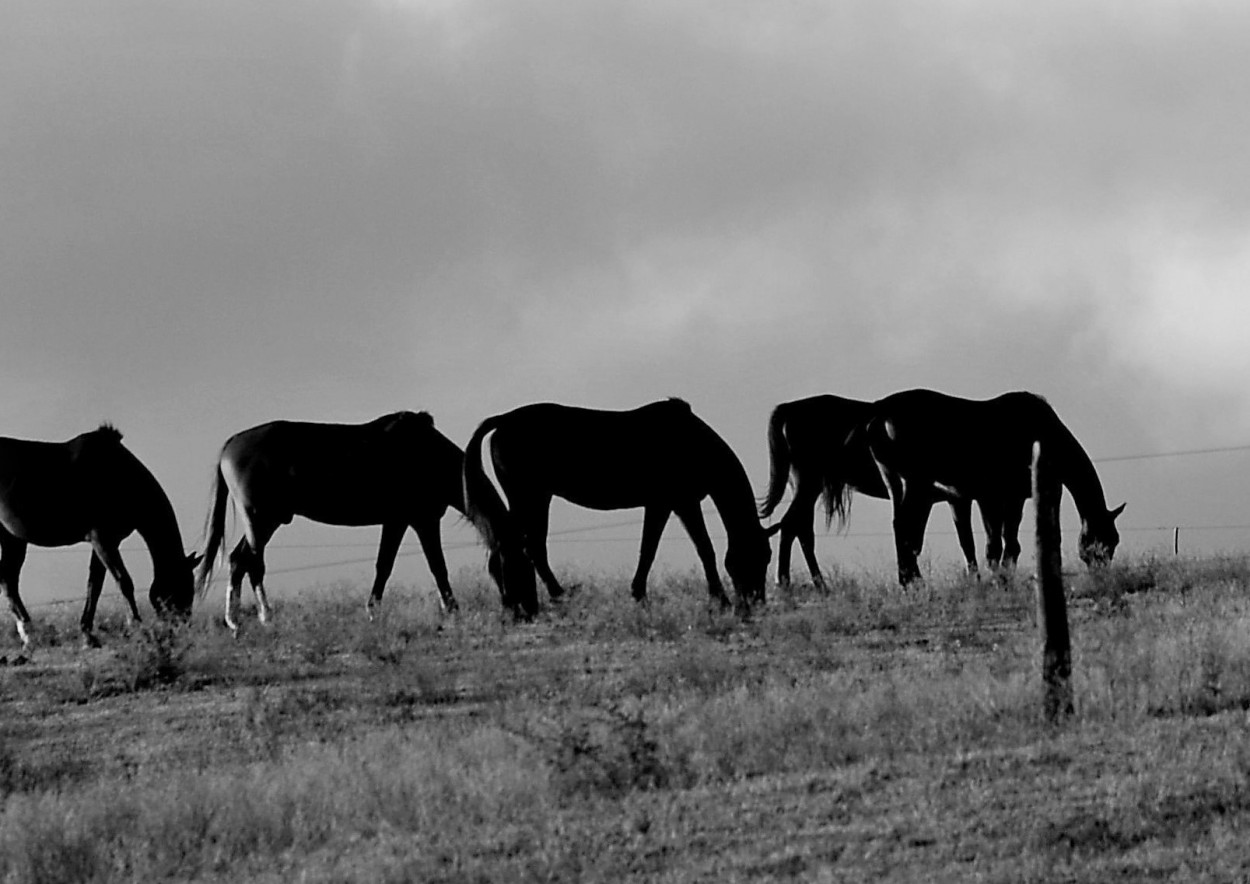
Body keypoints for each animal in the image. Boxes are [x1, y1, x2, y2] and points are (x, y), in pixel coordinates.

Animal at [0, 425, 195, 655]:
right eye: (183, 587)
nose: (183, 627)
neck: (121, 476)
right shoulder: (103, 540)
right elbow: (123, 582)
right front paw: (138, 628)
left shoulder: (105, 543)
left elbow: (94, 586)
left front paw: (88, 636)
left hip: (12, 538)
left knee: (8, 581)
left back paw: (29, 636)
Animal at [195, 412, 470, 632]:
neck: (424, 452)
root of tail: (231, 443)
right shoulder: (423, 520)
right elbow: (437, 566)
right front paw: (453, 610)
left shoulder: (397, 522)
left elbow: (384, 566)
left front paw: (373, 611)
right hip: (261, 519)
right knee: (252, 563)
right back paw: (265, 615)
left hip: (263, 522)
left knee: (237, 559)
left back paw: (234, 620)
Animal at [462, 400, 765, 615]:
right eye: (760, 556)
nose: (757, 601)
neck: (692, 442)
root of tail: (504, 419)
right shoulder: (682, 503)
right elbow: (703, 548)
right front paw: (721, 600)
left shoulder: (661, 505)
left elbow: (648, 549)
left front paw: (639, 594)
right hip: (528, 497)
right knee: (524, 547)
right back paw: (550, 596)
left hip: (532, 498)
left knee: (515, 546)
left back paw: (521, 601)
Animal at [755, 395, 990, 587]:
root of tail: (788, 409)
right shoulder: (956, 497)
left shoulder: (953, 499)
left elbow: (958, 539)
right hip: (808, 485)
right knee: (791, 526)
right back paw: (789, 583)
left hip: (807, 489)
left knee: (800, 529)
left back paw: (816, 585)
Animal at [865, 390, 1130, 585]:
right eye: (1104, 541)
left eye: (1115, 541)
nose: (1102, 573)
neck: (1042, 433)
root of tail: (881, 410)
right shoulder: (997, 497)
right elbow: (997, 543)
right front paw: (999, 579)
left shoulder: (1011, 498)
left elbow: (1005, 541)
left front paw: (1003, 576)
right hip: (916, 484)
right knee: (906, 527)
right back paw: (913, 581)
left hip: (895, 483)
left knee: (901, 527)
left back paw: (909, 580)